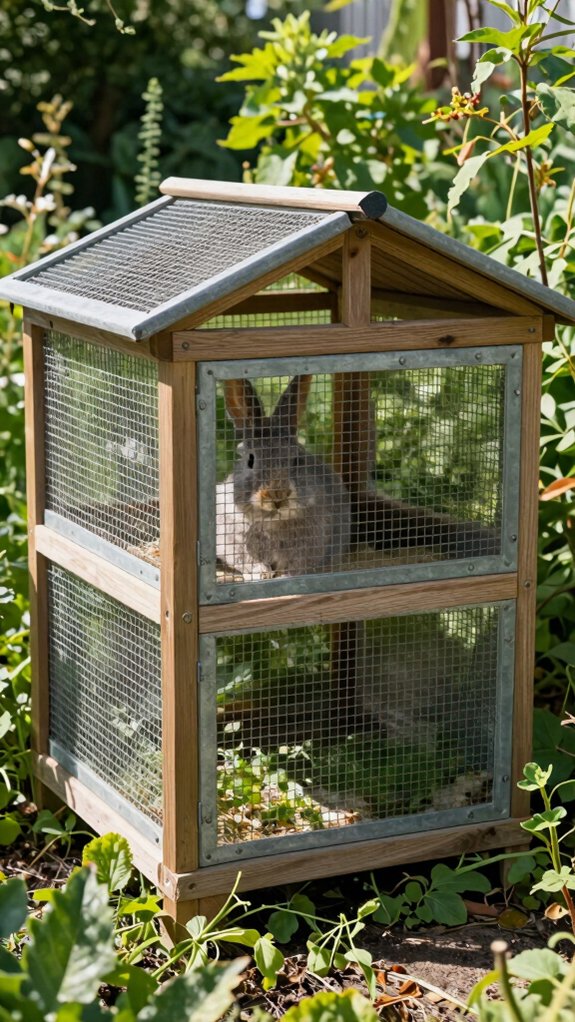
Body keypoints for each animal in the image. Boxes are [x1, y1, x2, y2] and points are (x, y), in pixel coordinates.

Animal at [215, 375, 352, 578]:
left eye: (296, 459)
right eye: (250, 460)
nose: (277, 495)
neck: (273, 521)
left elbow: (297, 566)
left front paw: (285, 576)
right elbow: (248, 561)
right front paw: (261, 574)